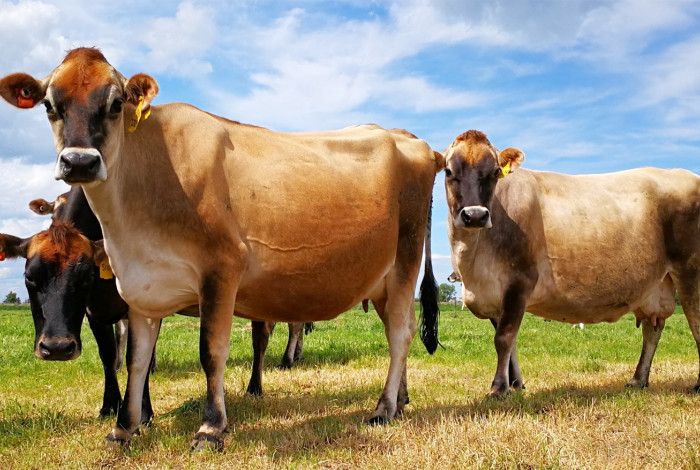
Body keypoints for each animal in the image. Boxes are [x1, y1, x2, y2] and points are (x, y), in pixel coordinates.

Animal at [0, 47, 441, 450]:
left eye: (115, 103)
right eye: (49, 105)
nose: (79, 162)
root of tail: (412, 140)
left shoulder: (221, 271)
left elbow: (211, 352)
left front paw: (210, 428)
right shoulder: (142, 288)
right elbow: (136, 360)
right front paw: (124, 427)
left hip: (405, 261)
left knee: (400, 335)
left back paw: (384, 408)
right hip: (382, 283)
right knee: (399, 329)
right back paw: (402, 399)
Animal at [442, 129, 700, 397]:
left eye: (495, 172)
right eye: (448, 171)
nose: (475, 215)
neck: (474, 263)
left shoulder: (519, 282)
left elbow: (504, 338)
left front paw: (498, 388)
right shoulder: (495, 296)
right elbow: (510, 344)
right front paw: (516, 384)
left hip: (691, 271)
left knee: (696, 321)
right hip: (657, 284)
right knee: (653, 328)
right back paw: (638, 379)